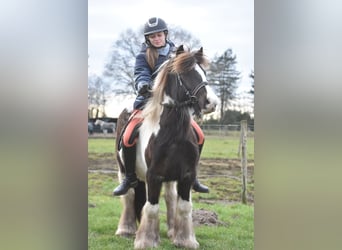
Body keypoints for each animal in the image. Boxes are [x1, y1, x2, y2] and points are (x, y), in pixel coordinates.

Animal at [113, 46, 218, 249]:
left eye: (203, 72)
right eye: (185, 74)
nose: (212, 103)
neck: (173, 134)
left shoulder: (186, 175)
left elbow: (183, 206)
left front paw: (185, 240)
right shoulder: (153, 176)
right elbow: (152, 207)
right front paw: (146, 241)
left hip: (169, 178)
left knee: (170, 198)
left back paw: (171, 230)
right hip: (124, 170)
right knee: (129, 196)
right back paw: (126, 229)